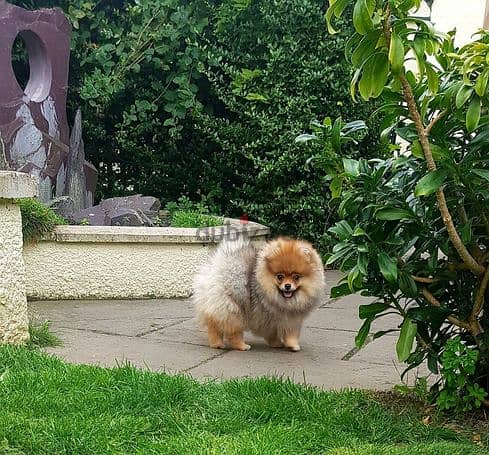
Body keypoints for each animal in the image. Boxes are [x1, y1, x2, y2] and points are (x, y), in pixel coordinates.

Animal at [193, 239, 324, 352]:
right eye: (280, 276)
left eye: (296, 277)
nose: (287, 286)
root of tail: (217, 269)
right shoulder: (267, 318)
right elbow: (273, 332)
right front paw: (278, 343)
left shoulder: (292, 318)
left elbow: (291, 333)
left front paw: (292, 345)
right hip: (233, 308)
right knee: (233, 331)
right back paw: (242, 346)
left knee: (214, 326)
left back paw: (217, 344)